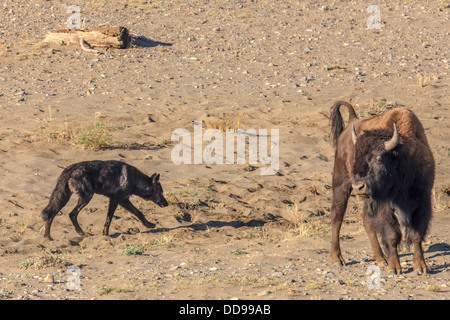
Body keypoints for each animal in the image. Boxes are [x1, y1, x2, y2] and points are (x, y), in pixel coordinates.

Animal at [328, 100, 434, 276]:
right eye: (356, 157)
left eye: (378, 158)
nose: (359, 186)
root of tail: (352, 120)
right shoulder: (384, 204)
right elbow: (392, 234)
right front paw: (394, 268)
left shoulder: (422, 200)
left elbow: (416, 234)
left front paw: (420, 267)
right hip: (340, 183)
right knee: (337, 217)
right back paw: (337, 259)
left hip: (366, 198)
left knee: (366, 220)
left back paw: (380, 258)